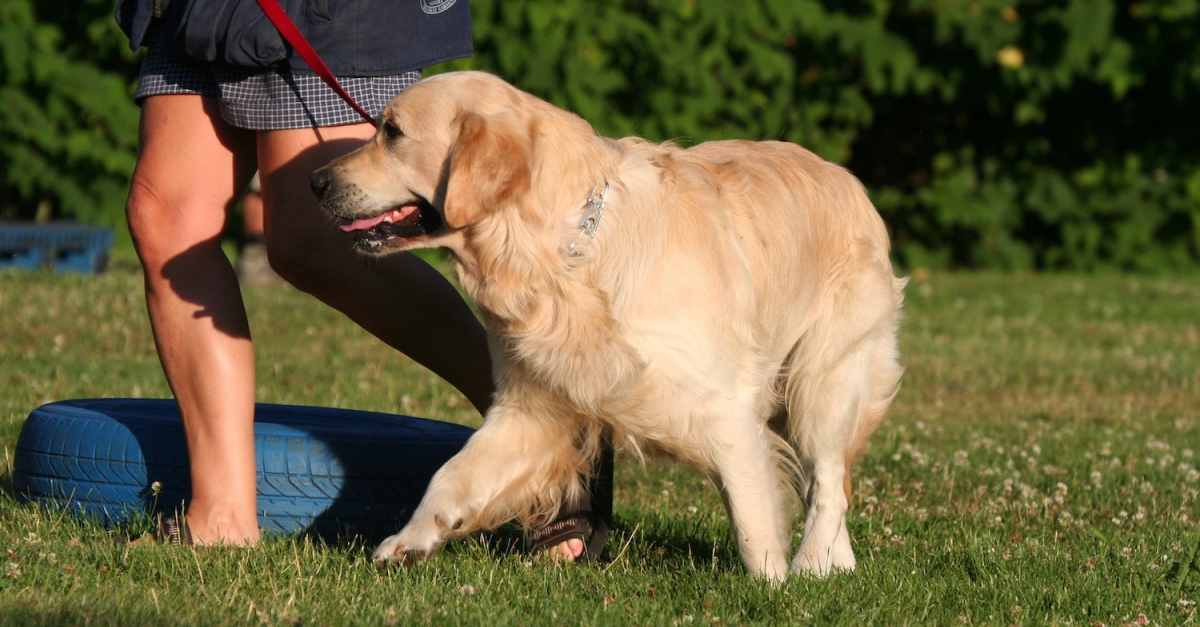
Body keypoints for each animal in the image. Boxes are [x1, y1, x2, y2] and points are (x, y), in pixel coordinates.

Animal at [314, 69, 902, 576]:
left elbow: (754, 524)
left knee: (828, 482)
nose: (316, 181)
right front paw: (409, 541)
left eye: (393, 133)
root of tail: (847, 178)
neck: (562, 254)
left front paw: (773, 589)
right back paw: (835, 565)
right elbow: (452, 475)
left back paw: (810, 565)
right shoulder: (533, 407)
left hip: (822, 377)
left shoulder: (726, 408)